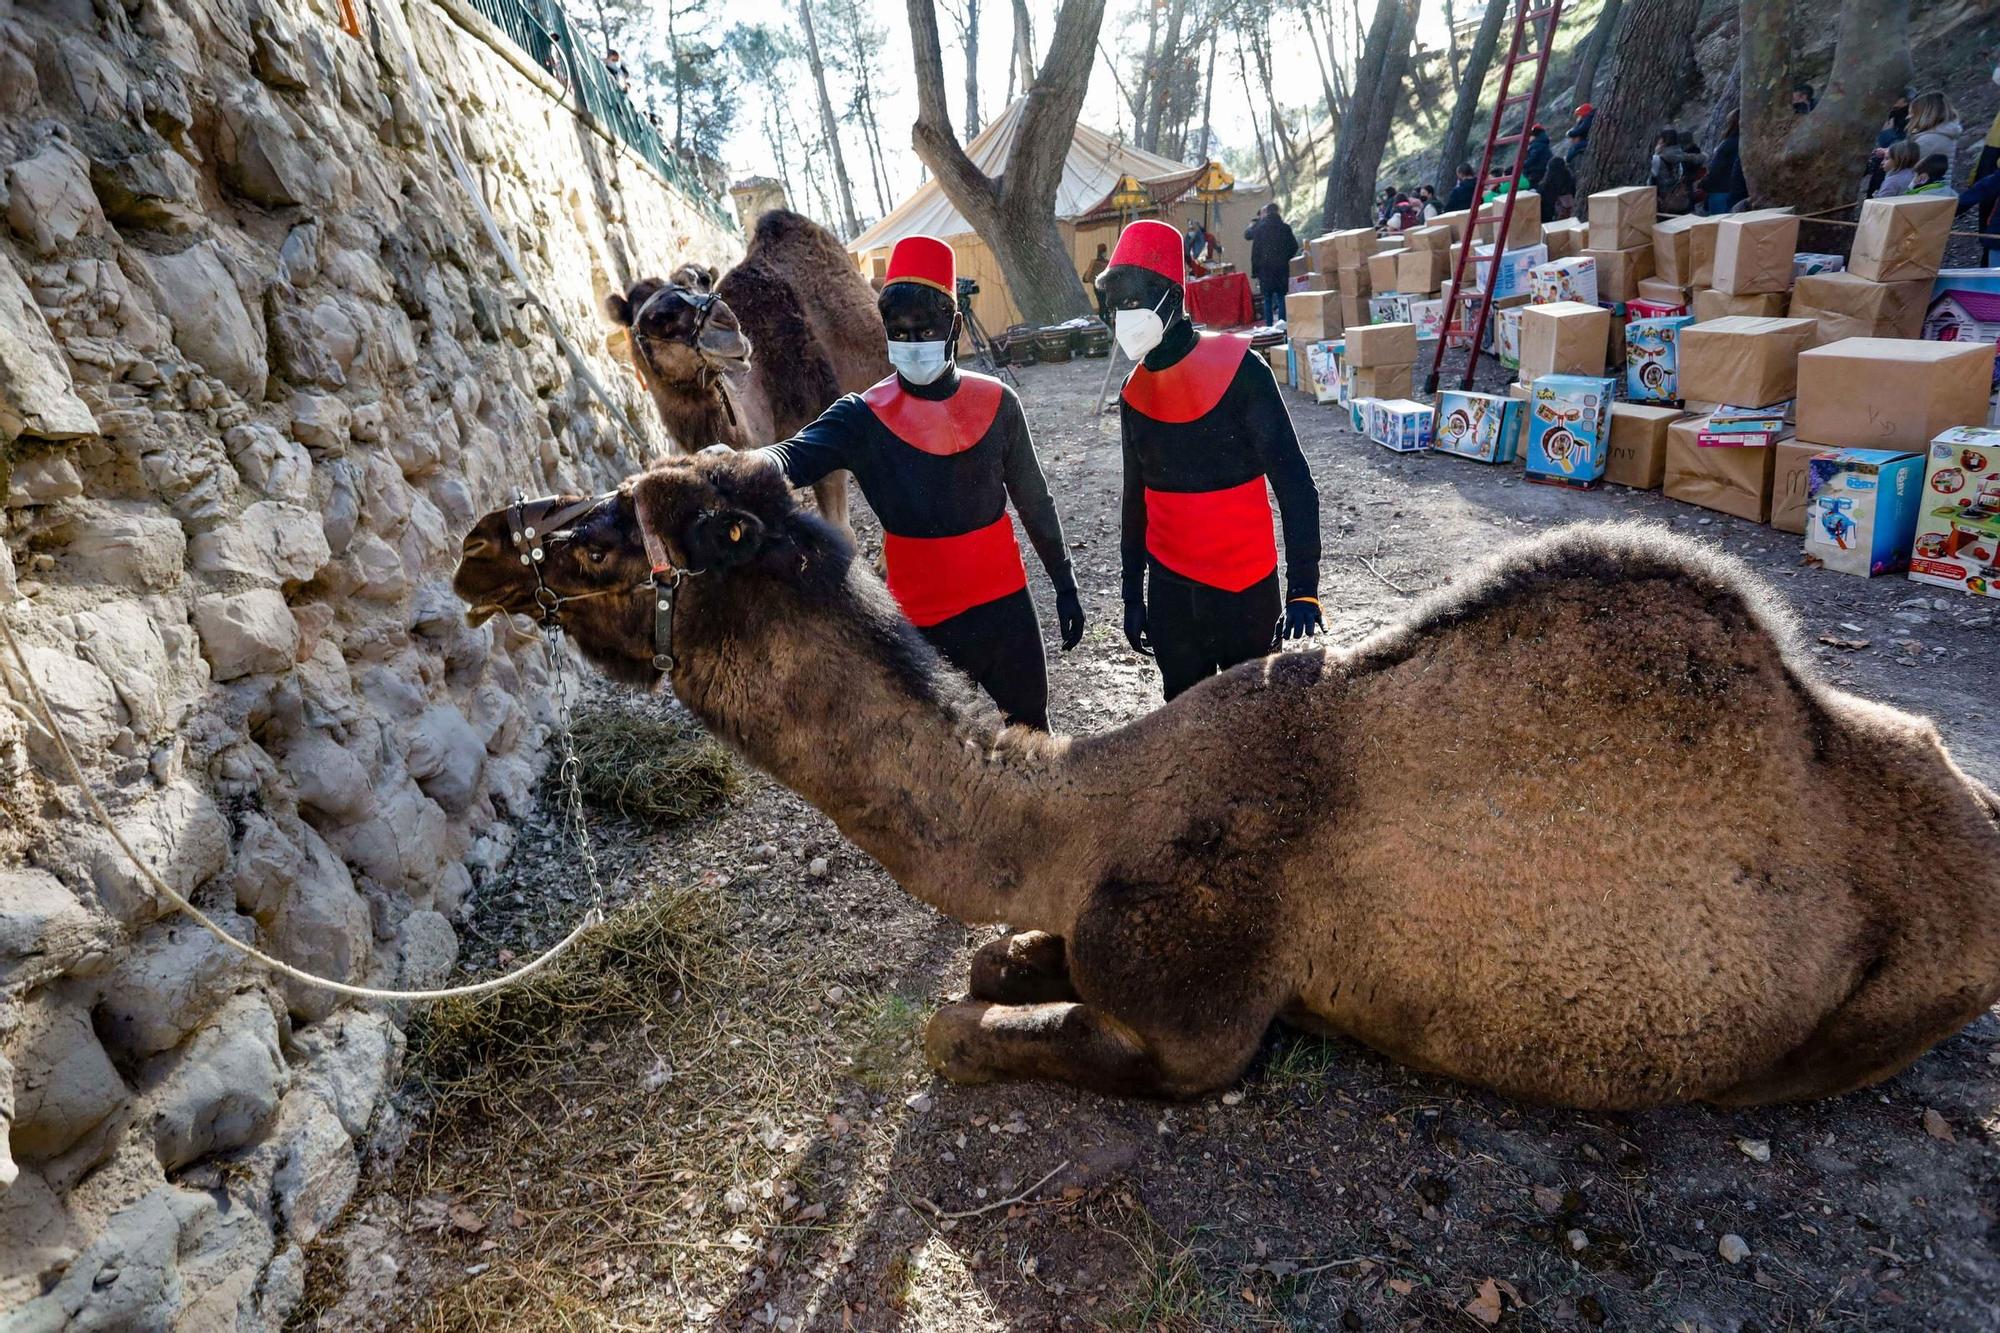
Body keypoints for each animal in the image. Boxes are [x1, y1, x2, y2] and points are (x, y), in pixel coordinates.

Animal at [454, 452, 2000, 1104]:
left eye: (689, 524)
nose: (489, 542)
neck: (1078, 812)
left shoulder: (1200, 1016)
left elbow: (963, 1027)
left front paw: (971, 1020)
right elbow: (997, 957)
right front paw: (1002, 961)